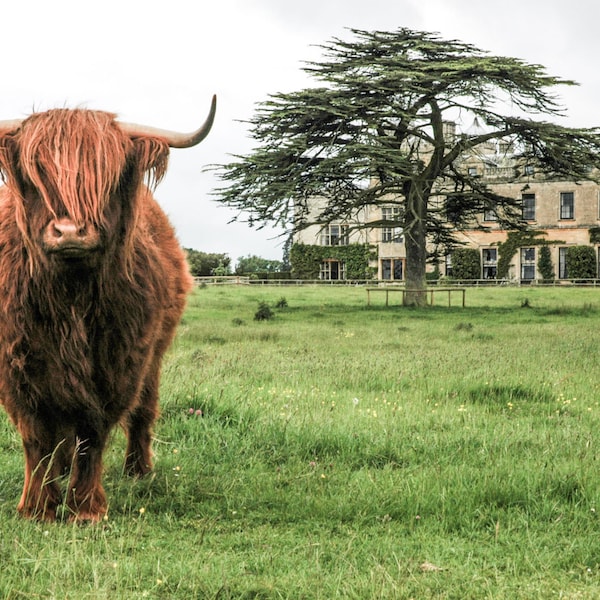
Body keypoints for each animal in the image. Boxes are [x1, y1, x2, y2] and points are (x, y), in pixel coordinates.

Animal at [0, 97, 217, 520]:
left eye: (108, 177)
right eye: (36, 175)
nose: (69, 231)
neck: (69, 297)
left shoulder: (119, 365)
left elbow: (92, 435)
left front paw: (86, 508)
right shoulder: (16, 369)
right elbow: (37, 439)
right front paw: (38, 507)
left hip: (155, 356)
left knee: (144, 411)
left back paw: (138, 469)